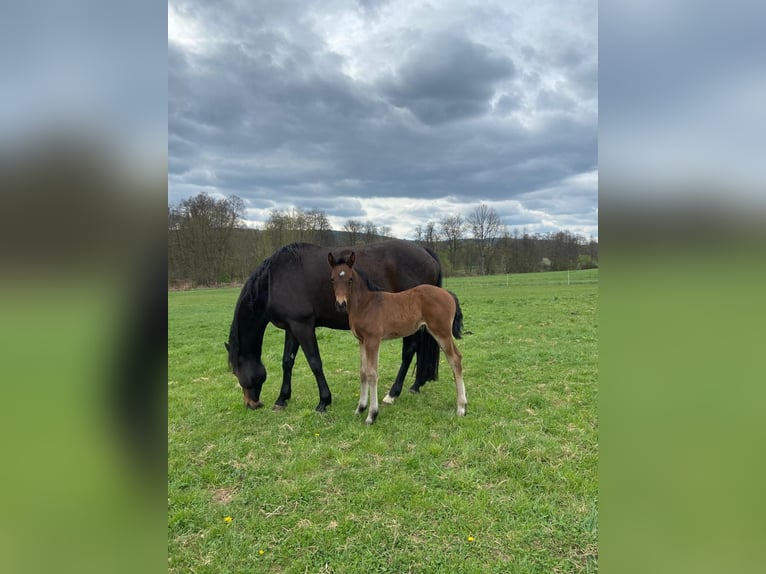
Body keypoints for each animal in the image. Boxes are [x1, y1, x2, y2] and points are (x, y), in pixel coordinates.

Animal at [225, 240, 443, 412]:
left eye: (236, 371)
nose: (251, 404)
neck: (275, 280)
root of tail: (424, 251)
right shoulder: (292, 327)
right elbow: (287, 361)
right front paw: (282, 399)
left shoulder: (303, 326)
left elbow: (315, 362)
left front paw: (324, 401)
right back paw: (415, 385)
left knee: (409, 351)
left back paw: (393, 393)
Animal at [328, 250, 468, 424]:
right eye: (332, 279)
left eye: (350, 279)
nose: (340, 304)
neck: (366, 304)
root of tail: (447, 293)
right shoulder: (361, 340)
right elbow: (363, 372)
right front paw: (360, 408)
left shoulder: (373, 340)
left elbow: (372, 373)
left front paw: (372, 415)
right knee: (456, 357)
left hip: (441, 332)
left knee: (455, 359)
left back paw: (461, 407)